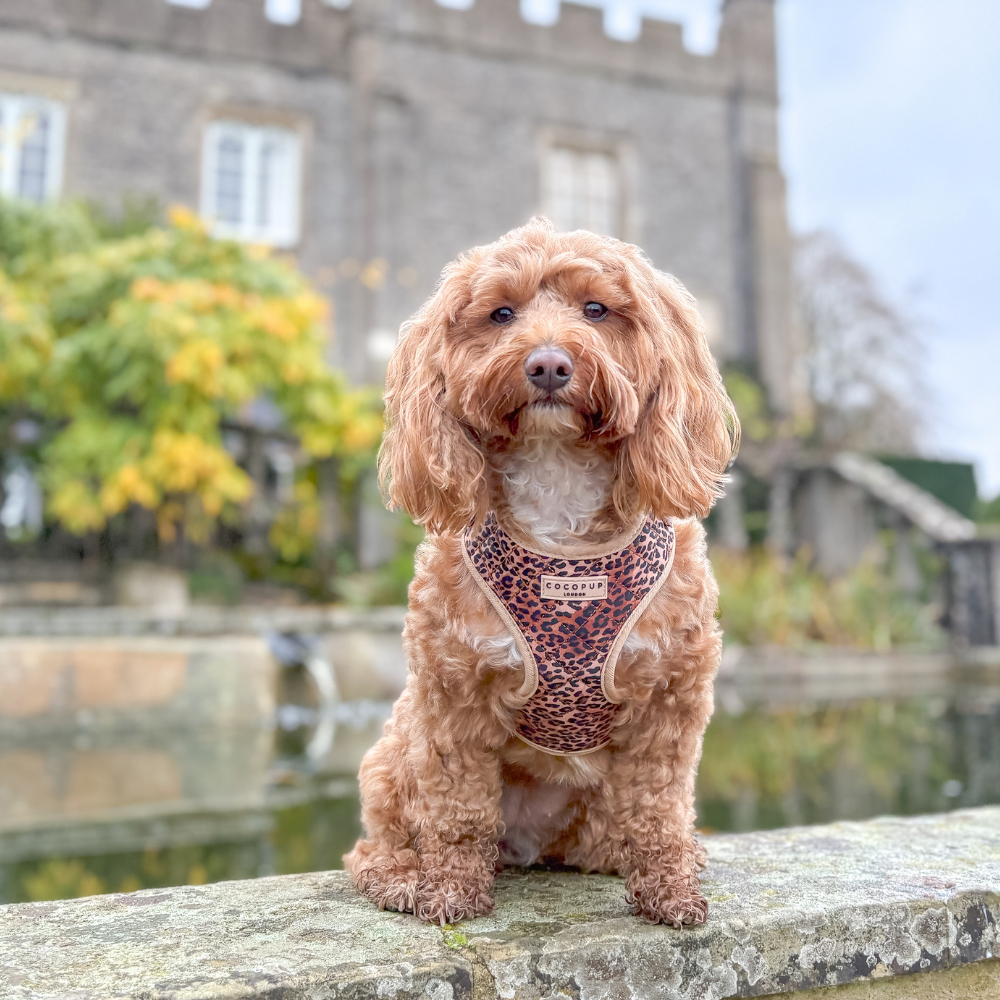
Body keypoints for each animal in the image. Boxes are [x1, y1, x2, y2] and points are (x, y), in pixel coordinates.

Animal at [348, 219, 740, 928]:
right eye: (502, 314)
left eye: (597, 309)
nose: (550, 365)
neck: (556, 482)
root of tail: (532, 846)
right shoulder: (451, 692)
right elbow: (456, 809)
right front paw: (451, 891)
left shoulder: (671, 695)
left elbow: (661, 805)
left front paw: (670, 888)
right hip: (394, 753)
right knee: (375, 845)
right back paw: (402, 877)